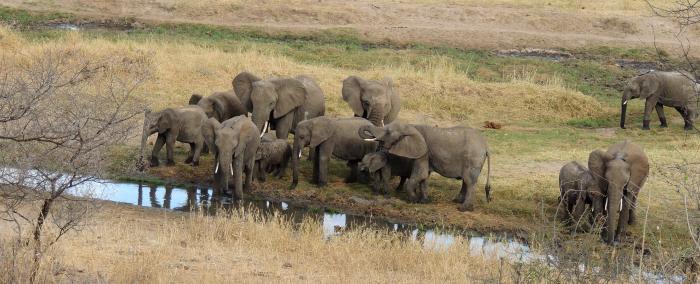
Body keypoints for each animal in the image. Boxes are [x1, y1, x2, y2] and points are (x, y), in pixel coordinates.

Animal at [360, 122, 492, 211]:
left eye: (388, 132)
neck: (411, 126)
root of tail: (486, 146)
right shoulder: (424, 154)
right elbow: (424, 177)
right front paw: (424, 201)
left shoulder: (423, 152)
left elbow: (421, 174)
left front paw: (413, 201)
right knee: (466, 180)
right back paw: (457, 201)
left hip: (473, 158)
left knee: (469, 181)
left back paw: (463, 208)